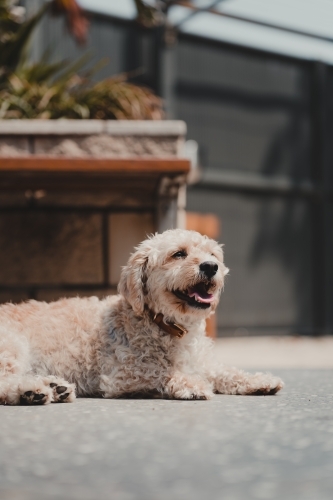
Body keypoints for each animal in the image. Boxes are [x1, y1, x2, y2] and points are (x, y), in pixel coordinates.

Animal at [0, 229, 282, 404]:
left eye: (213, 255)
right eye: (179, 254)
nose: (211, 267)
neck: (168, 325)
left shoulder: (201, 362)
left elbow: (225, 371)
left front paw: (259, 380)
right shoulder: (120, 375)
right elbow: (159, 371)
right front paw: (191, 384)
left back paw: (53, 388)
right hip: (11, 347)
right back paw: (30, 391)